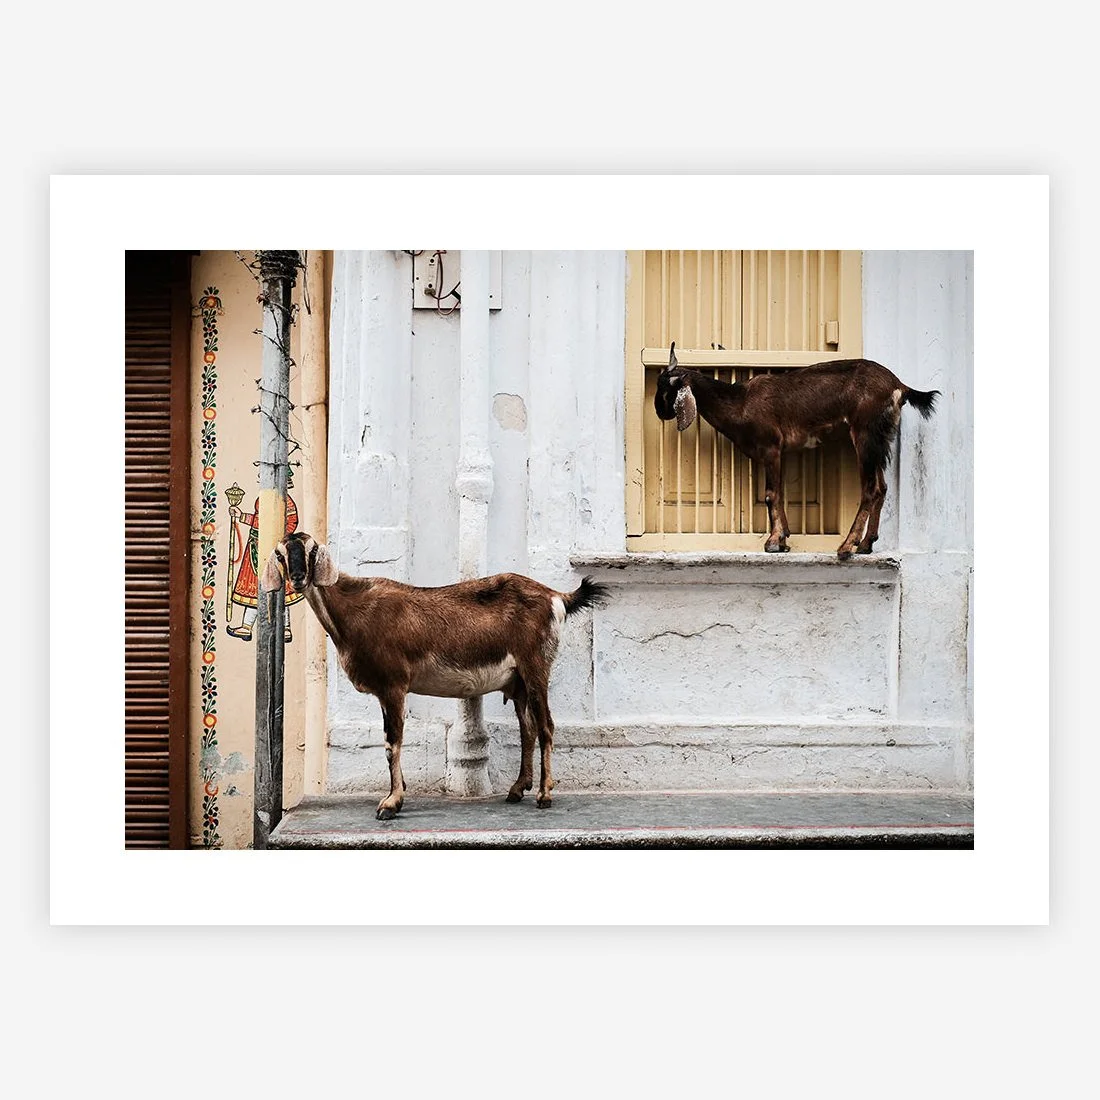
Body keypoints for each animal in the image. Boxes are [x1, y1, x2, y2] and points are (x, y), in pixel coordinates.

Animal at [261, 532, 610, 819]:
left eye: (311, 550)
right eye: (280, 553)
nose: (298, 578)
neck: (355, 609)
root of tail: (557, 597)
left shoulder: (393, 685)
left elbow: (392, 742)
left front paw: (390, 803)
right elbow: (390, 742)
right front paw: (398, 793)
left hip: (536, 667)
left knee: (546, 726)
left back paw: (544, 794)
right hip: (519, 681)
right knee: (529, 729)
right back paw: (516, 790)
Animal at [654, 343, 940, 558]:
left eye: (667, 389)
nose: (658, 411)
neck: (740, 401)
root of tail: (899, 385)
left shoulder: (771, 447)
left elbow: (771, 495)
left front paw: (773, 542)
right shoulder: (777, 452)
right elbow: (779, 493)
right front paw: (784, 539)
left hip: (865, 433)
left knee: (870, 488)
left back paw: (847, 546)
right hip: (879, 440)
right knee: (881, 487)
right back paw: (867, 545)